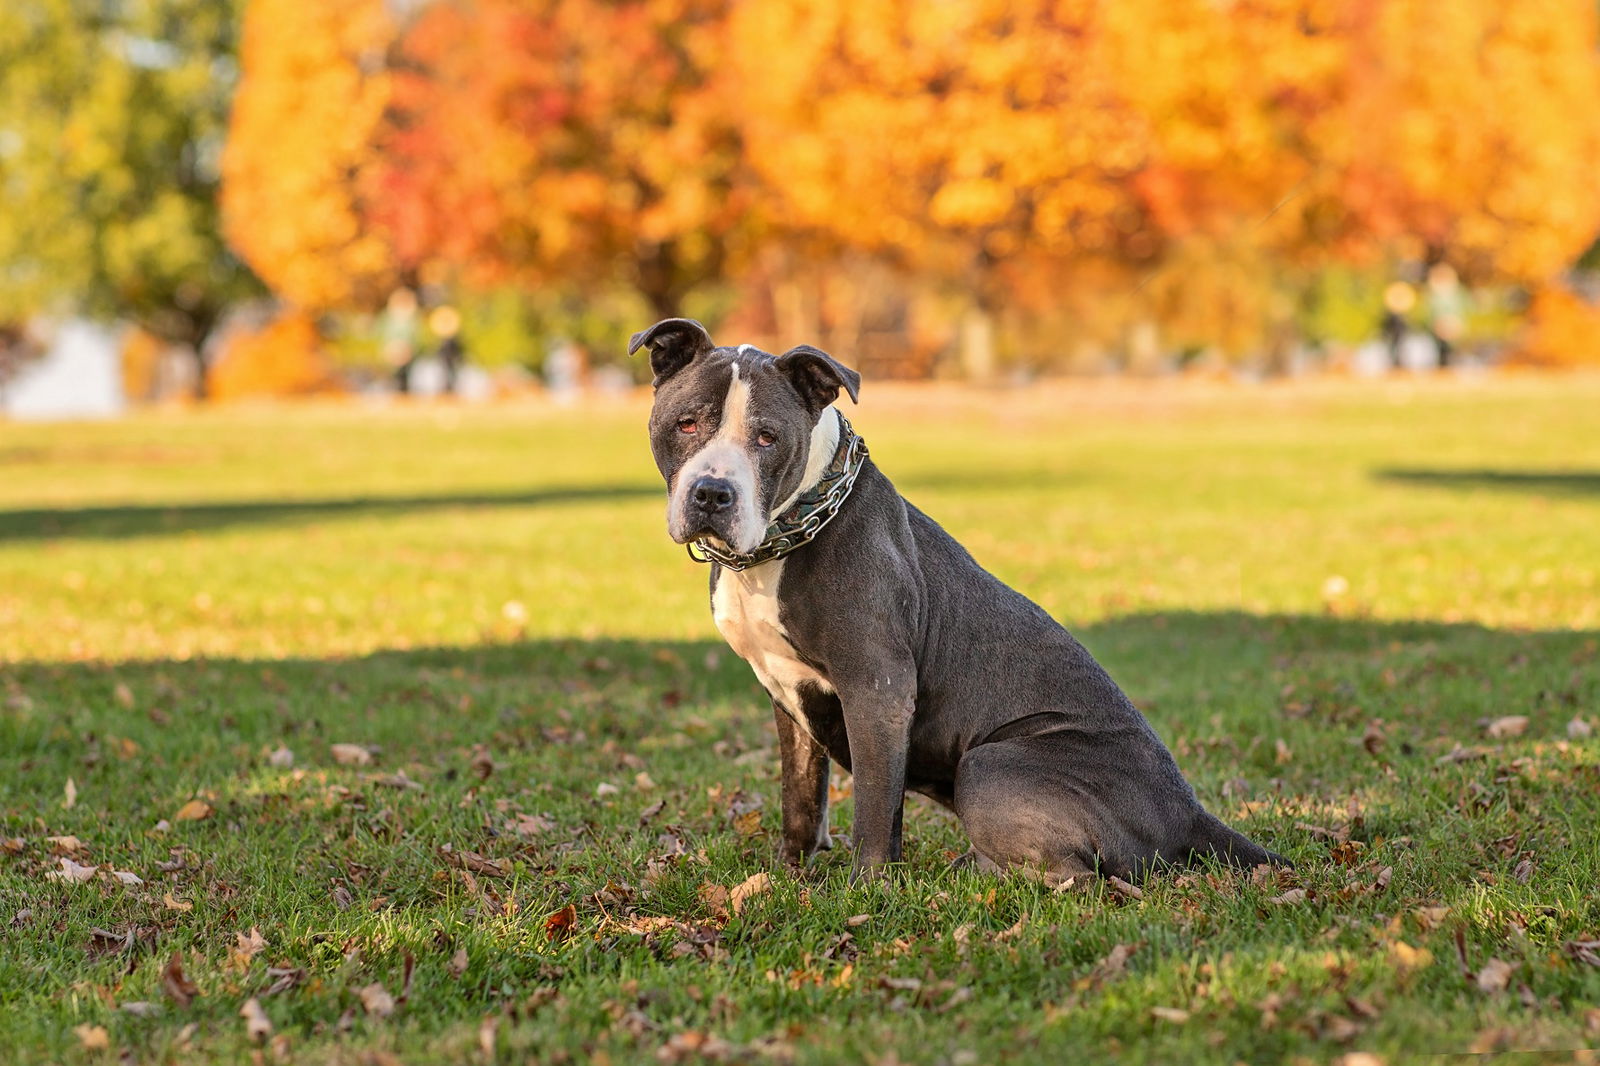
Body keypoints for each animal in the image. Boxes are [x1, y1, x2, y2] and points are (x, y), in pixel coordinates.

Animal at [633, 315, 1286, 877]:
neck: (784, 538)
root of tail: (1190, 814)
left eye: (767, 438)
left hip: (993, 763)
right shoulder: (787, 696)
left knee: (1083, 877)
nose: (712, 493)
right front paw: (789, 875)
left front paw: (866, 888)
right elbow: (802, 798)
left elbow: (874, 808)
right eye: (686, 424)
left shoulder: (877, 688)